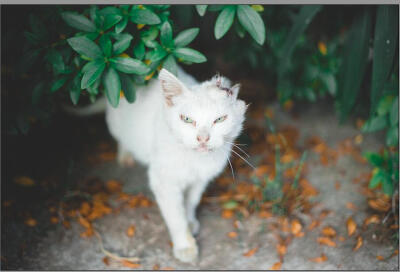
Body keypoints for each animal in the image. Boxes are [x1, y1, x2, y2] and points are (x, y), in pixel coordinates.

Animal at [103, 67, 247, 262]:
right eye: (186, 119)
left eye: (219, 120)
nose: (203, 138)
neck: (195, 160)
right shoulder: (164, 182)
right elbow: (176, 216)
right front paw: (185, 245)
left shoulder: (200, 180)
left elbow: (191, 201)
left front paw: (190, 221)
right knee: (122, 138)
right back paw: (125, 154)